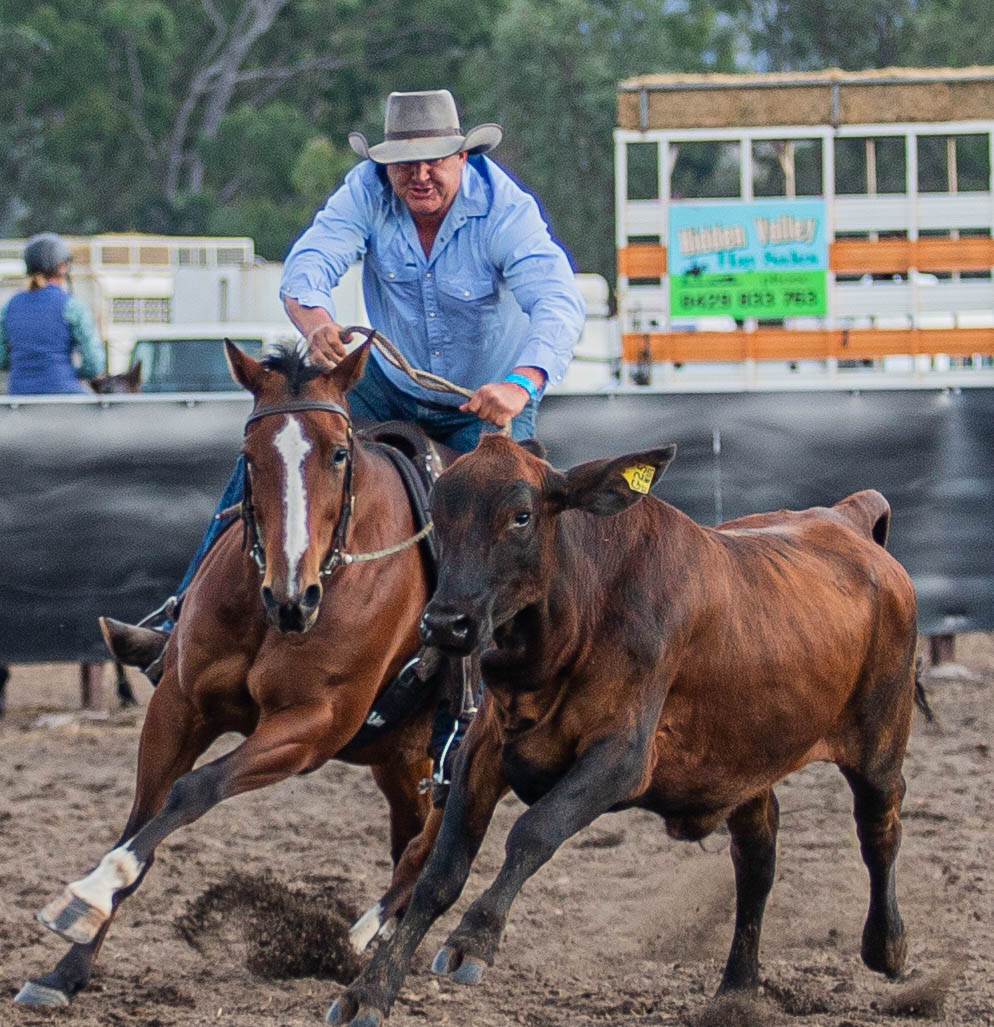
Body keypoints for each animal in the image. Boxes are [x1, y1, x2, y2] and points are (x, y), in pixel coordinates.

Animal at [17, 341, 451, 1008]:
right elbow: (143, 816)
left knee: (431, 857)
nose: (293, 596)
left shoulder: (311, 727)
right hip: (403, 758)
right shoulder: (179, 704)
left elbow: (193, 791)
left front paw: (90, 891)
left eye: (340, 453)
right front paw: (68, 963)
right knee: (412, 836)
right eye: (248, 456)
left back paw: (366, 960)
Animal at [326, 435, 929, 1027]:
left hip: (879, 740)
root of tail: (849, 520)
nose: (446, 624)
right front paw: (369, 992)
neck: (581, 614)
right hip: (743, 766)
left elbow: (535, 830)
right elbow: (439, 872)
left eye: (521, 516)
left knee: (880, 827)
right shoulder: (483, 751)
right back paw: (736, 990)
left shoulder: (622, 758)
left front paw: (474, 939)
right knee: (757, 858)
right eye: (437, 514)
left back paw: (888, 946)